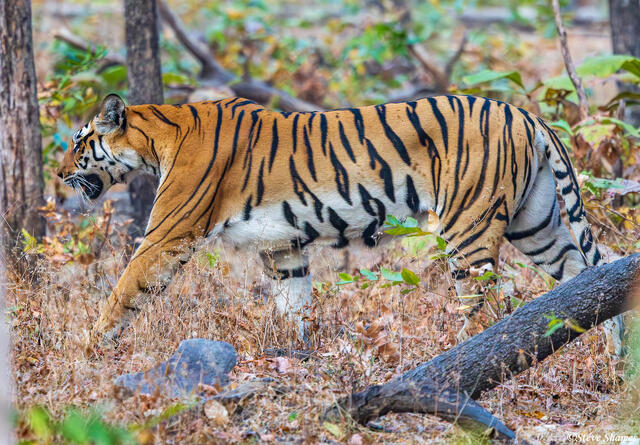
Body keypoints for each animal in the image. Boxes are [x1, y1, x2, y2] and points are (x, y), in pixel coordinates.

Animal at [58, 93, 603, 344]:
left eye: (79, 142)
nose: (60, 175)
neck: (158, 137)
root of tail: (524, 113)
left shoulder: (167, 236)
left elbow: (123, 292)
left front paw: (91, 349)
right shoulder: (281, 246)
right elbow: (293, 305)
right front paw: (293, 354)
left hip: (468, 230)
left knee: (489, 307)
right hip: (537, 224)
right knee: (587, 277)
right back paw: (610, 359)